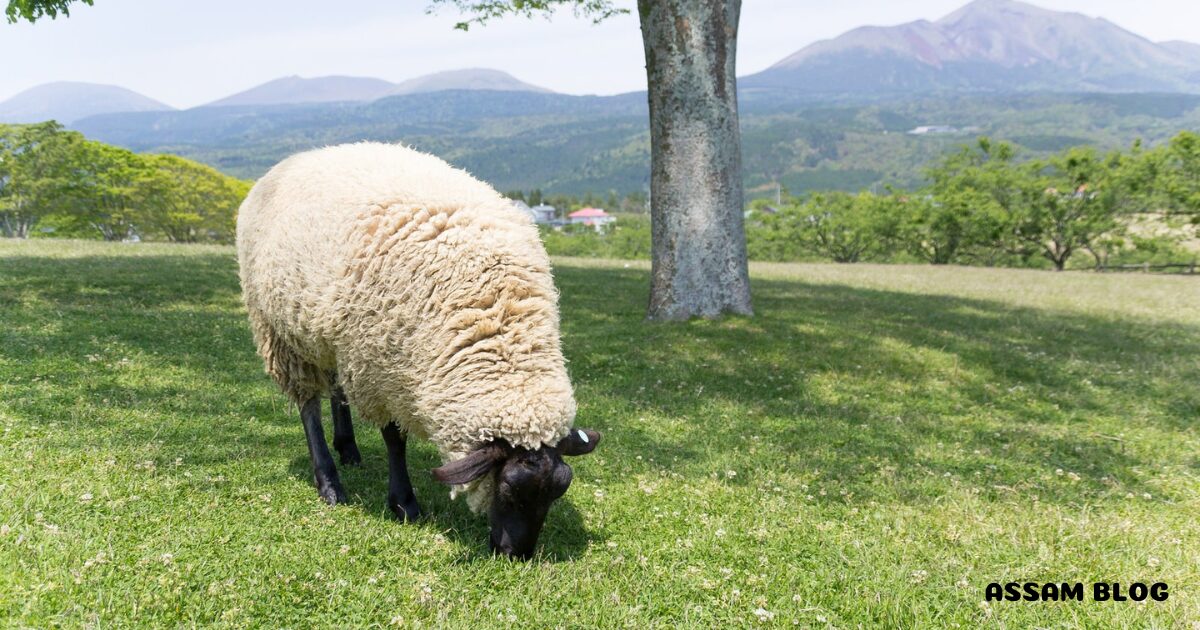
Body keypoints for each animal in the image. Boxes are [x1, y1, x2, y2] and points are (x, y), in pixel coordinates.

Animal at [236, 143, 600, 559]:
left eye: (558, 492)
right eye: (508, 488)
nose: (516, 554)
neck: (493, 316)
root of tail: (302, 156)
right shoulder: (380, 368)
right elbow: (395, 439)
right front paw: (404, 503)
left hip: (334, 334)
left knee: (337, 389)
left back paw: (348, 449)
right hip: (281, 332)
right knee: (307, 403)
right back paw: (329, 482)